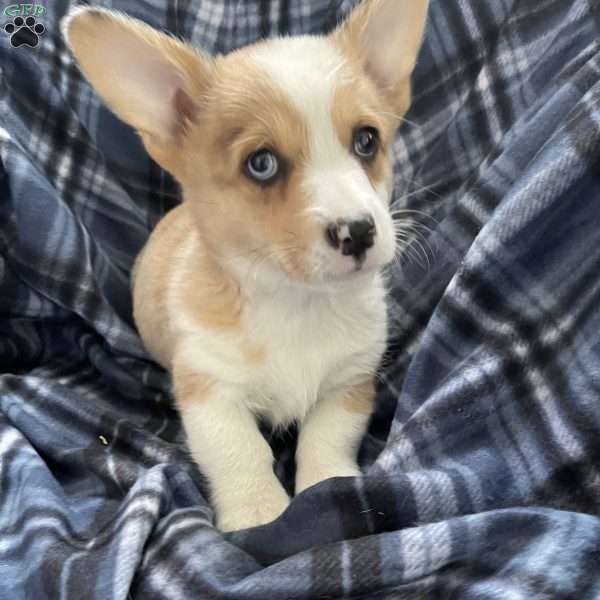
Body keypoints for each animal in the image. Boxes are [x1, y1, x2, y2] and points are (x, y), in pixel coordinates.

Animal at [63, 0, 428, 528]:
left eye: (366, 141)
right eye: (261, 164)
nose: (358, 232)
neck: (296, 303)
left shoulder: (348, 382)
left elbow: (326, 440)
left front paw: (327, 487)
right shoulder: (209, 390)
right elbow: (238, 451)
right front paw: (257, 511)